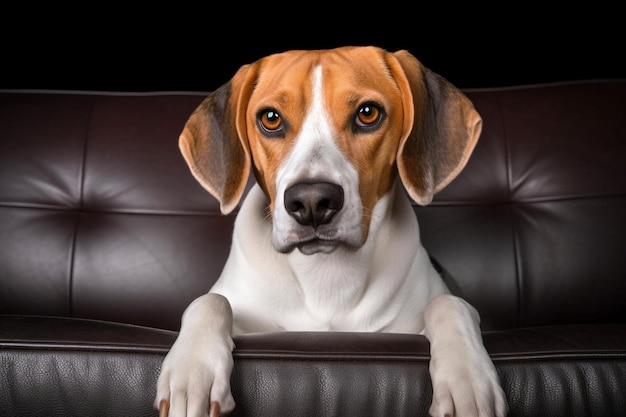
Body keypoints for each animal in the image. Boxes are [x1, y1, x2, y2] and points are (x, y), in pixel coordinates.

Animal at [156, 45, 508, 416]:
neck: (326, 276)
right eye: (271, 118)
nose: (312, 201)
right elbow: (210, 301)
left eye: (368, 113)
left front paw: (467, 380)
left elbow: (450, 304)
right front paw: (191, 374)